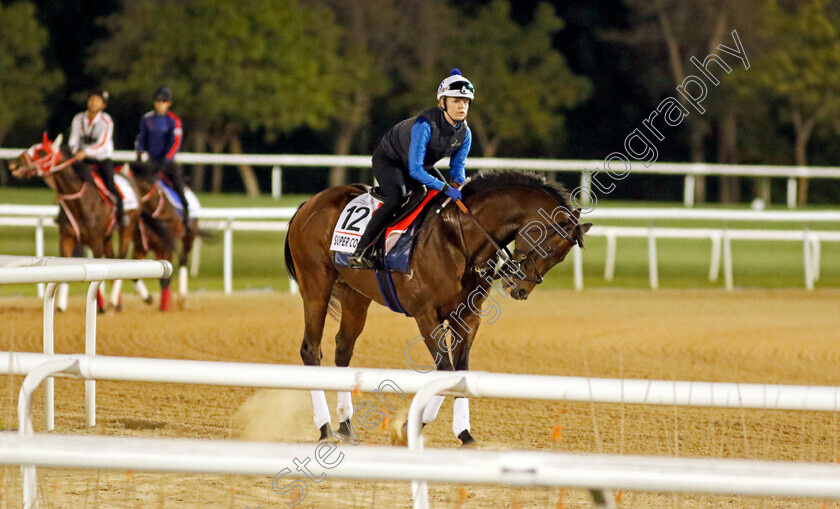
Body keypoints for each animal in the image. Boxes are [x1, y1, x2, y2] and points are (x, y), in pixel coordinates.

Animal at [8, 133, 141, 312]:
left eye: (42, 151)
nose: (14, 163)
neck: (80, 201)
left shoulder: (96, 242)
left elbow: (98, 273)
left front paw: (100, 306)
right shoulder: (66, 239)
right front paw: (60, 305)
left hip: (126, 230)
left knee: (121, 257)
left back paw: (114, 300)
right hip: (107, 237)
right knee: (112, 258)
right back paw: (117, 303)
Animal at [123, 160, 200, 310]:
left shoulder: (166, 246)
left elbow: (166, 278)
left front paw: (165, 307)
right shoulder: (140, 247)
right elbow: (135, 275)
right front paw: (148, 298)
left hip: (189, 237)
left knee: (183, 259)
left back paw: (181, 297)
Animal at [282, 171, 592, 444]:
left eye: (560, 258)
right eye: (548, 249)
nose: (520, 289)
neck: (460, 238)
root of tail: (308, 204)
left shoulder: (468, 316)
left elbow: (460, 373)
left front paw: (464, 434)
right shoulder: (426, 316)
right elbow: (445, 369)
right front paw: (408, 427)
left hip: (355, 297)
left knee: (343, 350)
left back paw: (345, 425)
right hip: (316, 287)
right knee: (311, 350)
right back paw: (324, 426)